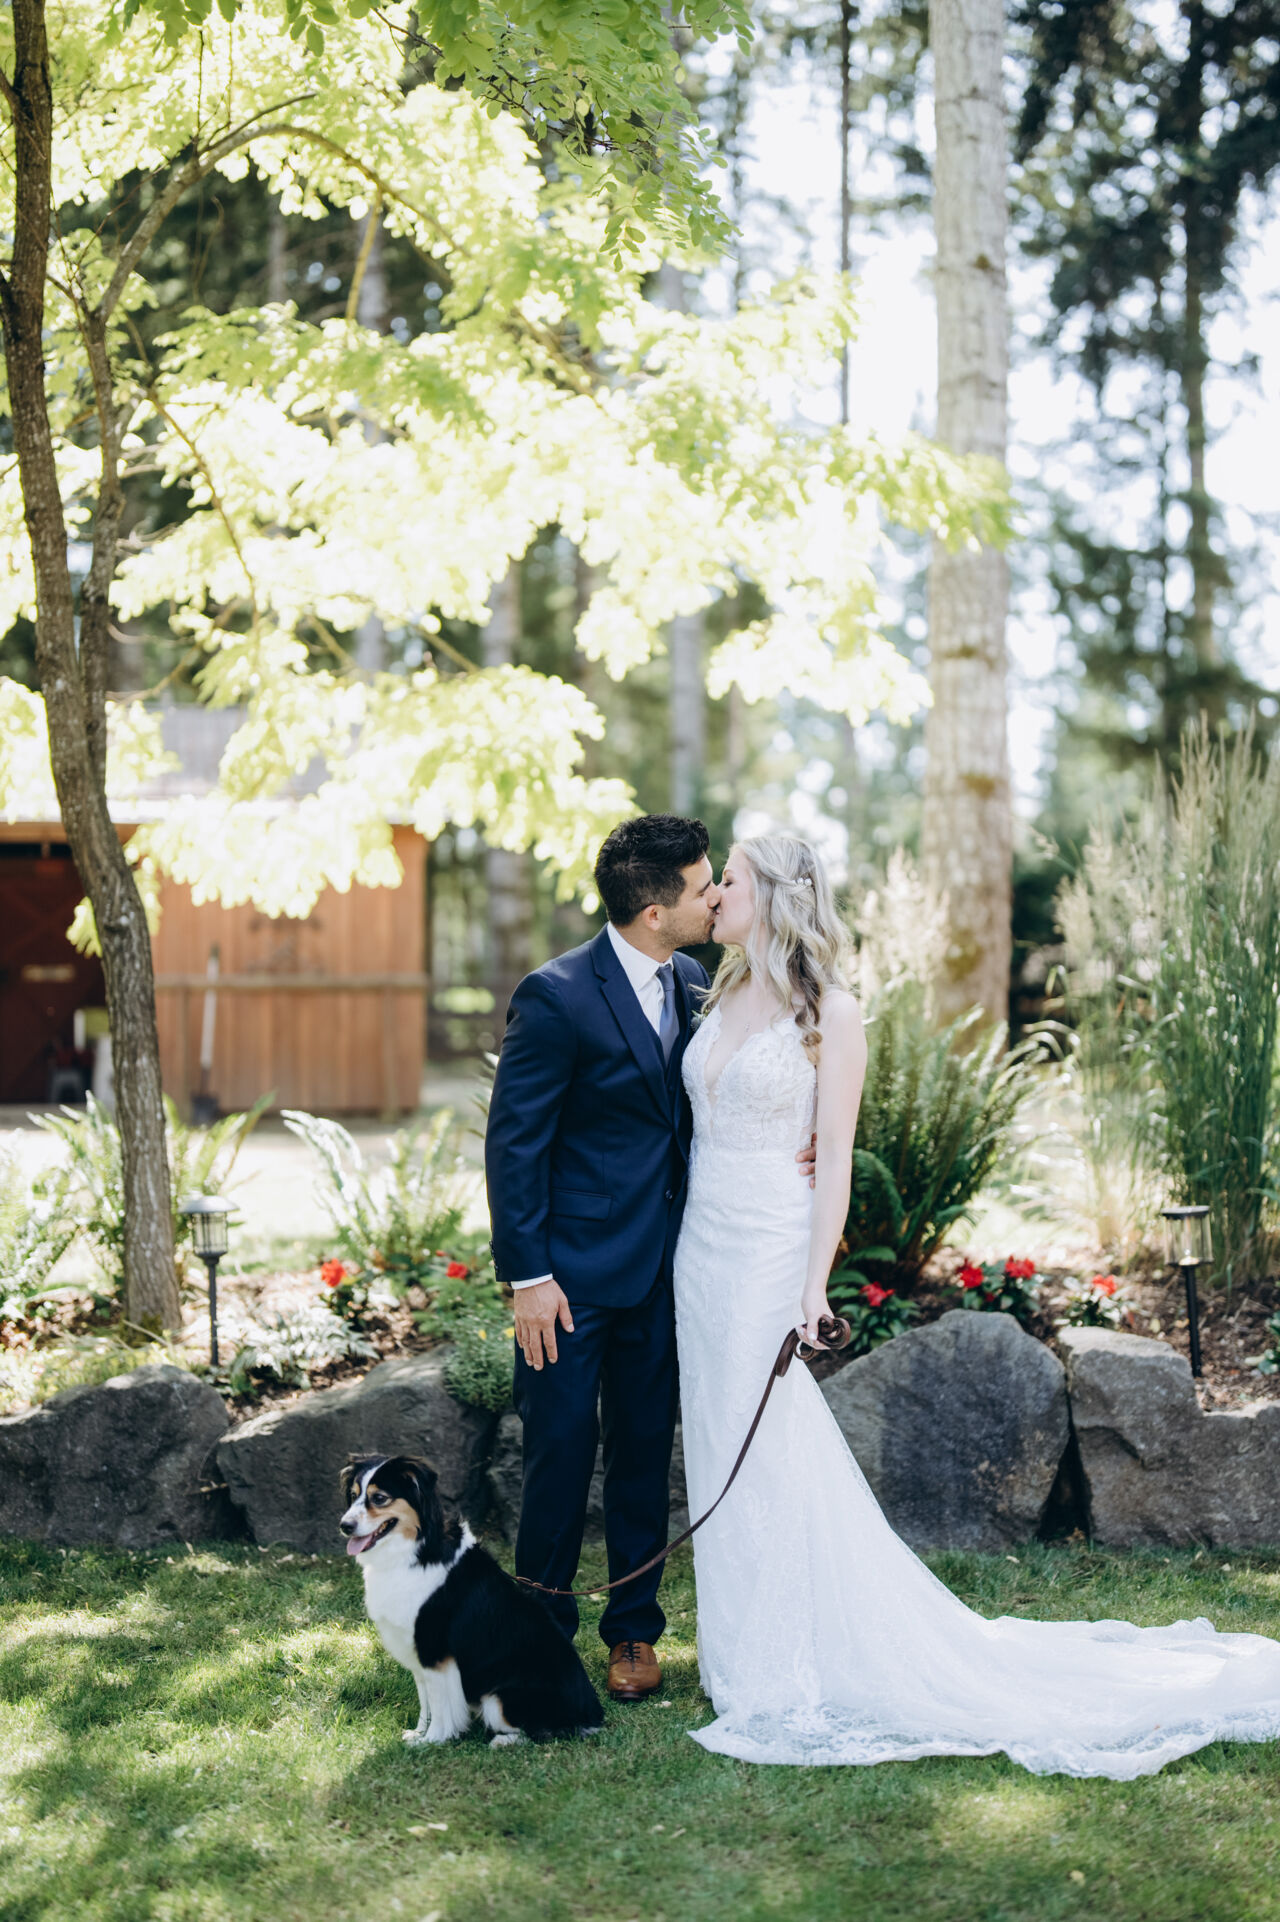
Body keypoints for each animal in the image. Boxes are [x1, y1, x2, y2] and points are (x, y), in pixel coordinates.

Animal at [339, 1453, 605, 1747]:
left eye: (379, 1498)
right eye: (354, 1495)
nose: (344, 1526)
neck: (416, 1550)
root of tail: (593, 1715)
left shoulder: (435, 1651)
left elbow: (439, 1703)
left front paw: (432, 1740)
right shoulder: (415, 1647)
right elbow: (424, 1699)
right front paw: (418, 1733)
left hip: (498, 1697)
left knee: (540, 1733)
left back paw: (502, 1741)